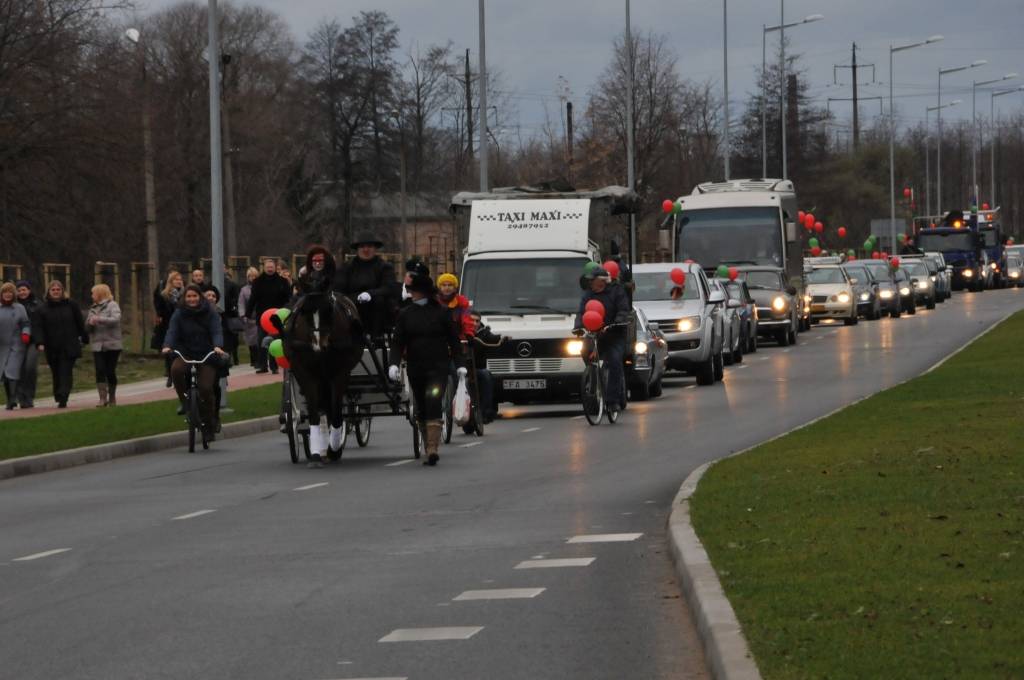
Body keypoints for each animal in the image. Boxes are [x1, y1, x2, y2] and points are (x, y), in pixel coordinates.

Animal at [282, 288, 366, 464]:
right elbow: (314, 412)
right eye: (305, 313)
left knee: (331, 408)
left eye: (329, 311)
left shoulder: (340, 374)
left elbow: (336, 412)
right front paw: (315, 453)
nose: (318, 345)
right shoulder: (304, 373)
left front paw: (333, 450)